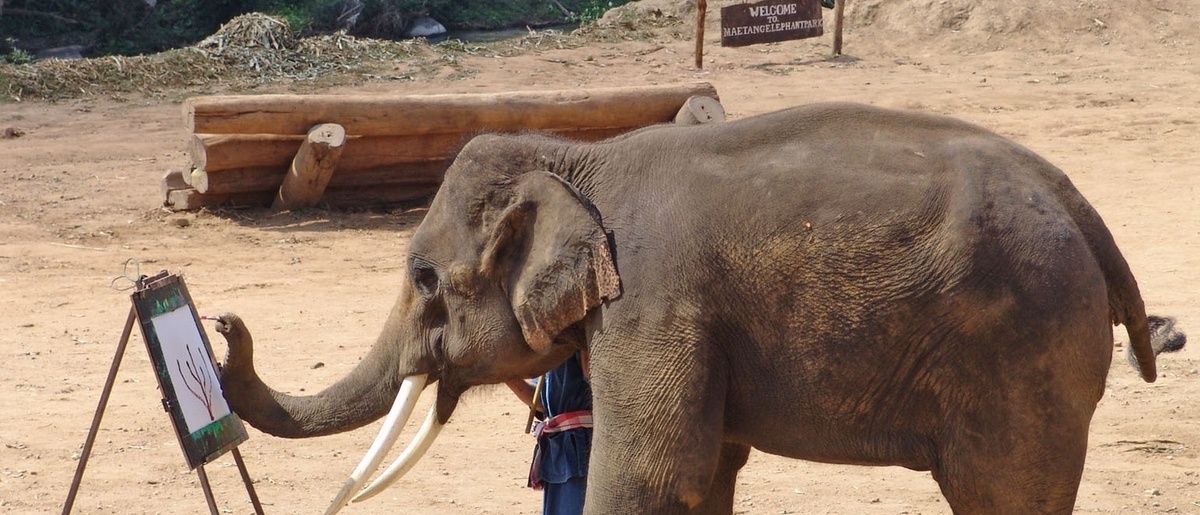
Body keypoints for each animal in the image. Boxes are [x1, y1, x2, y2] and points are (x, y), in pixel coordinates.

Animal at [211, 101, 1185, 513]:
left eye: (422, 279)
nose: (221, 321)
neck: (582, 158)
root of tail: (1083, 208)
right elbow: (708, 470)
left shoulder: (656, 304)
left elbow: (649, 475)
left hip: (1027, 351)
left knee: (1003, 493)